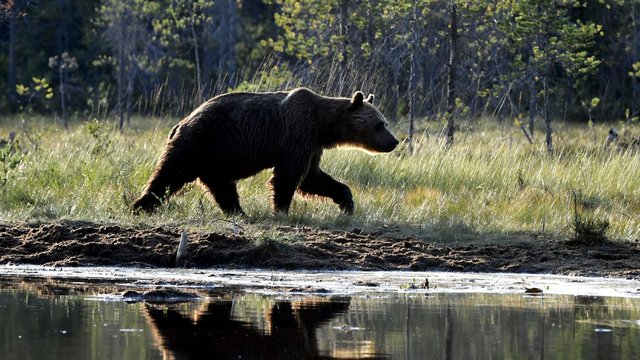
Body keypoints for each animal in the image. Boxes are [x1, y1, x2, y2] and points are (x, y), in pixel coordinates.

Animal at [132, 87, 398, 215]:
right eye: (380, 124)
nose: (394, 141)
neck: (323, 125)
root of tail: (180, 123)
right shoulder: (297, 133)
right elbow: (290, 176)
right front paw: (281, 209)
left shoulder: (312, 144)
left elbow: (313, 177)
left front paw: (347, 203)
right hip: (199, 143)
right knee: (169, 175)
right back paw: (141, 205)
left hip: (214, 158)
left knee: (222, 186)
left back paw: (239, 212)